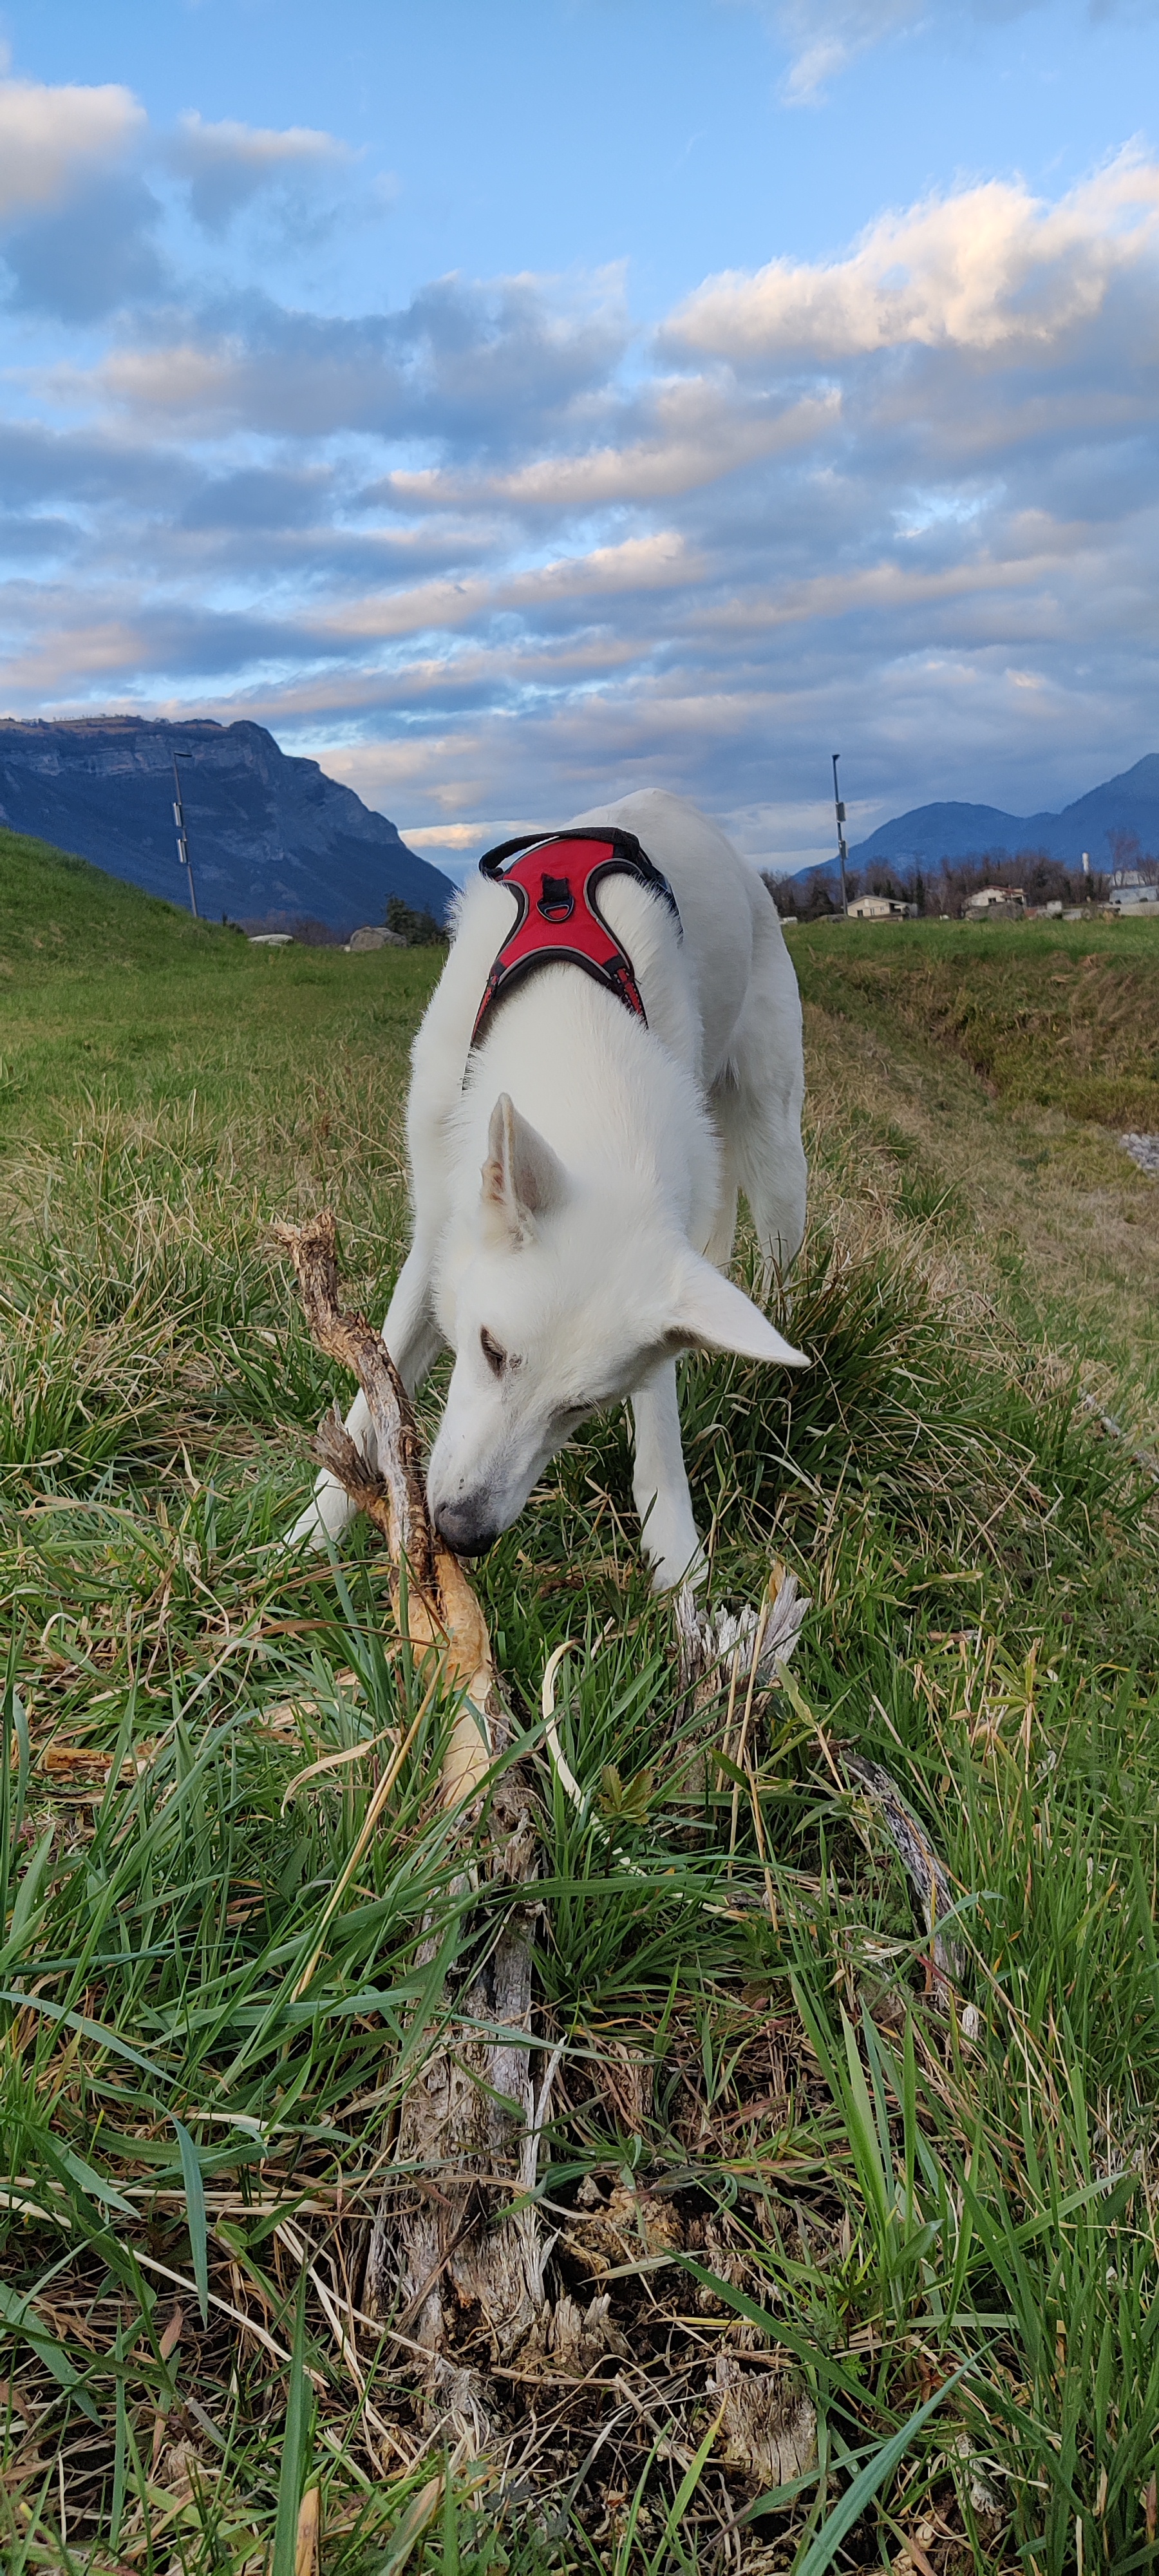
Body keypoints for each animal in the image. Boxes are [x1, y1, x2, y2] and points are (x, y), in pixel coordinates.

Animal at [290, 788, 808, 1592]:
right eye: (490, 1349)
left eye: (583, 1406)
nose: (463, 1534)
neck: (577, 1030)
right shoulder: (438, 1229)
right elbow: (375, 1388)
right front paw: (305, 1538)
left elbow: (659, 1434)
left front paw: (682, 1570)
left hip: (778, 1146)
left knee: (781, 1259)